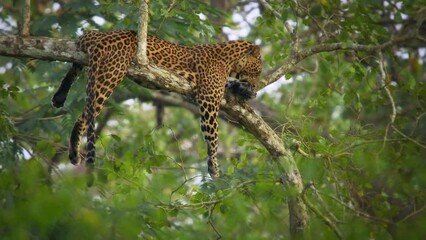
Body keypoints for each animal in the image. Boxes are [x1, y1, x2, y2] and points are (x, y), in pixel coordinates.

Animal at [51, 30, 262, 180]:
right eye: (258, 70)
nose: (255, 85)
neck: (230, 60)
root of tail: (104, 35)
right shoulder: (208, 98)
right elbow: (212, 135)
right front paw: (214, 166)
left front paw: (243, 89)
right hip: (110, 73)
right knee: (85, 116)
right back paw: (74, 149)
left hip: (86, 53)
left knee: (74, 67)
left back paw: (59, 97)